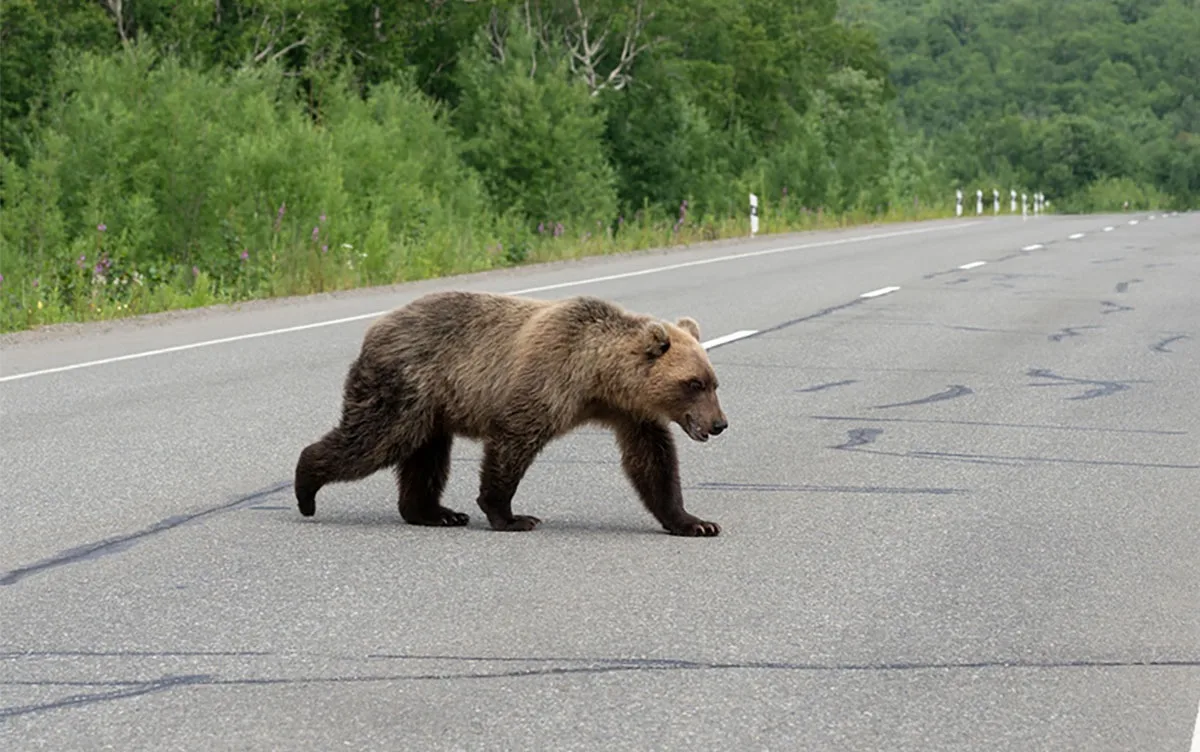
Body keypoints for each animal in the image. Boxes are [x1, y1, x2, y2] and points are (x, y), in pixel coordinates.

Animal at [294, 290, 729, 536]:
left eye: (714, 382)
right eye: (693, 383)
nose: (719, 424)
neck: (597, 379)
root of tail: (376, 328)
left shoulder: (630, 413)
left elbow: (653, 463)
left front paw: (696, 522)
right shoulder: (546, 380)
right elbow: (513, 442)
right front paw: (512, 516)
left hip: (432, 407)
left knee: (427, 457)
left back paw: (436, 512)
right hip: (407, 385)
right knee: (374, 439)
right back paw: (306, 488)